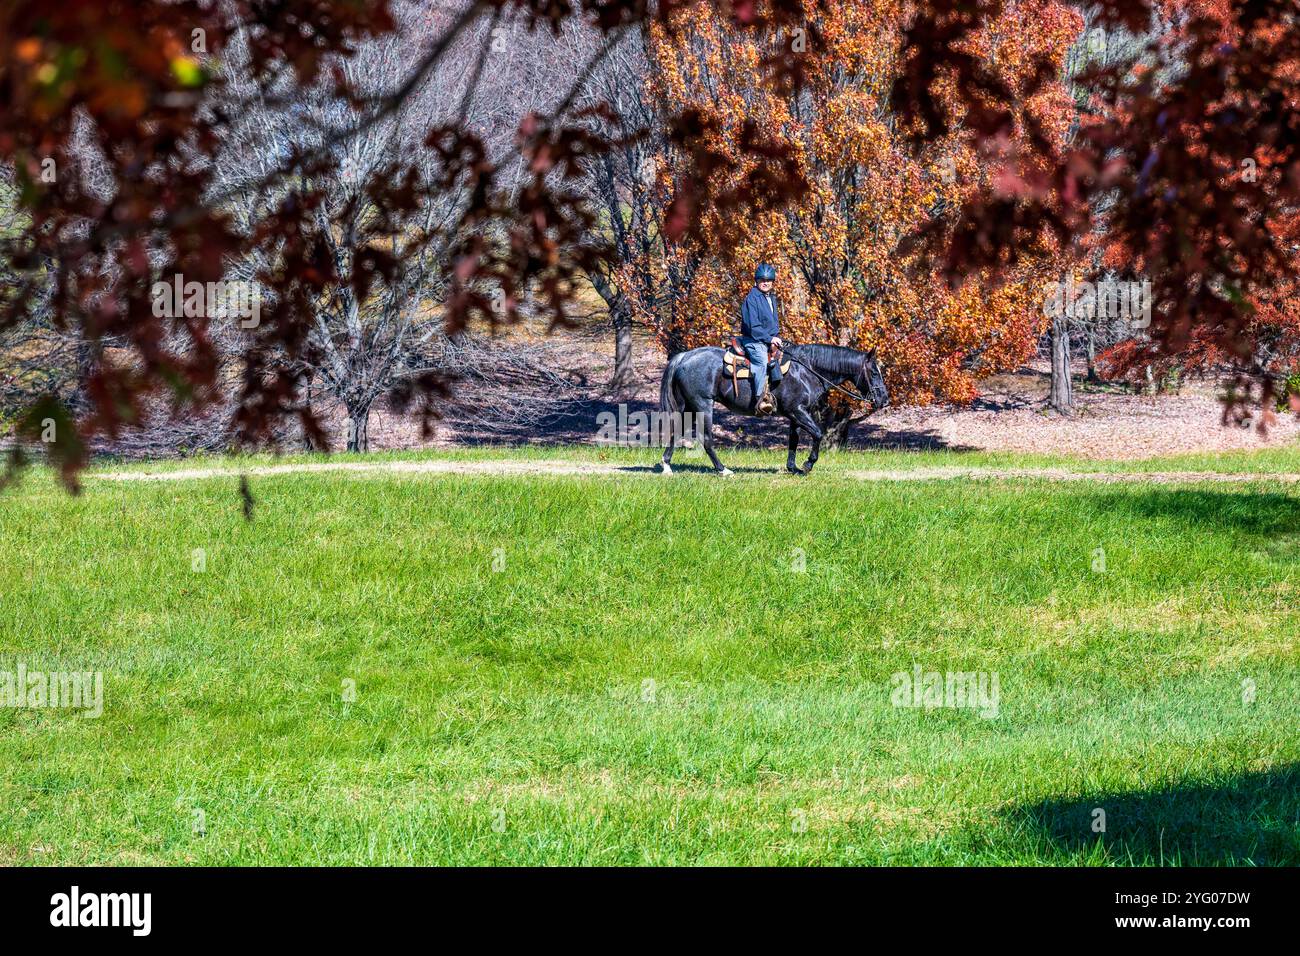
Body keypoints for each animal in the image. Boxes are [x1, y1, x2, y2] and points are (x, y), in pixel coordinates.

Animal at [657, 343, 889, 476]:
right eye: (874, 372)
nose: (885, 400)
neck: (806, 370)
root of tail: (684, 356)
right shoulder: (798, 411)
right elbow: (818, 433)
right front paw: (808, 465)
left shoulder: (795, 414)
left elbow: (793, 440)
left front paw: (793, 468)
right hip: (703, 405)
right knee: (706, 439)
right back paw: (723, 470)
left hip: (688, 406)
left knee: (675, 431)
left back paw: (667, 466)